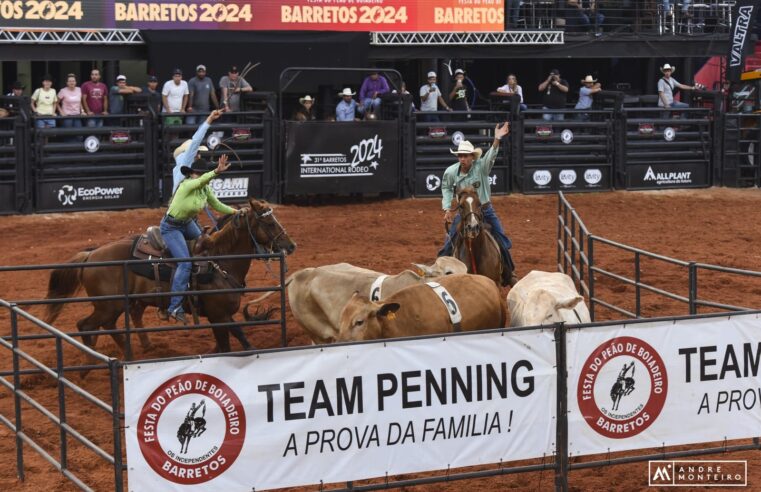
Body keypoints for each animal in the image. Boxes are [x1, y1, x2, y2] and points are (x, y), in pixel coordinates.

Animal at [41, 198, 296, 356]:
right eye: (269, 222)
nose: (290, 245)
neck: (220, 263)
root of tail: (91, 255)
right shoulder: (220, 315)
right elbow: (237, 340)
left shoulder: (219, 318)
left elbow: (228, 343)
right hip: (108, 305)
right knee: (86, 325)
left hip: (115, 306)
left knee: (110, 325)